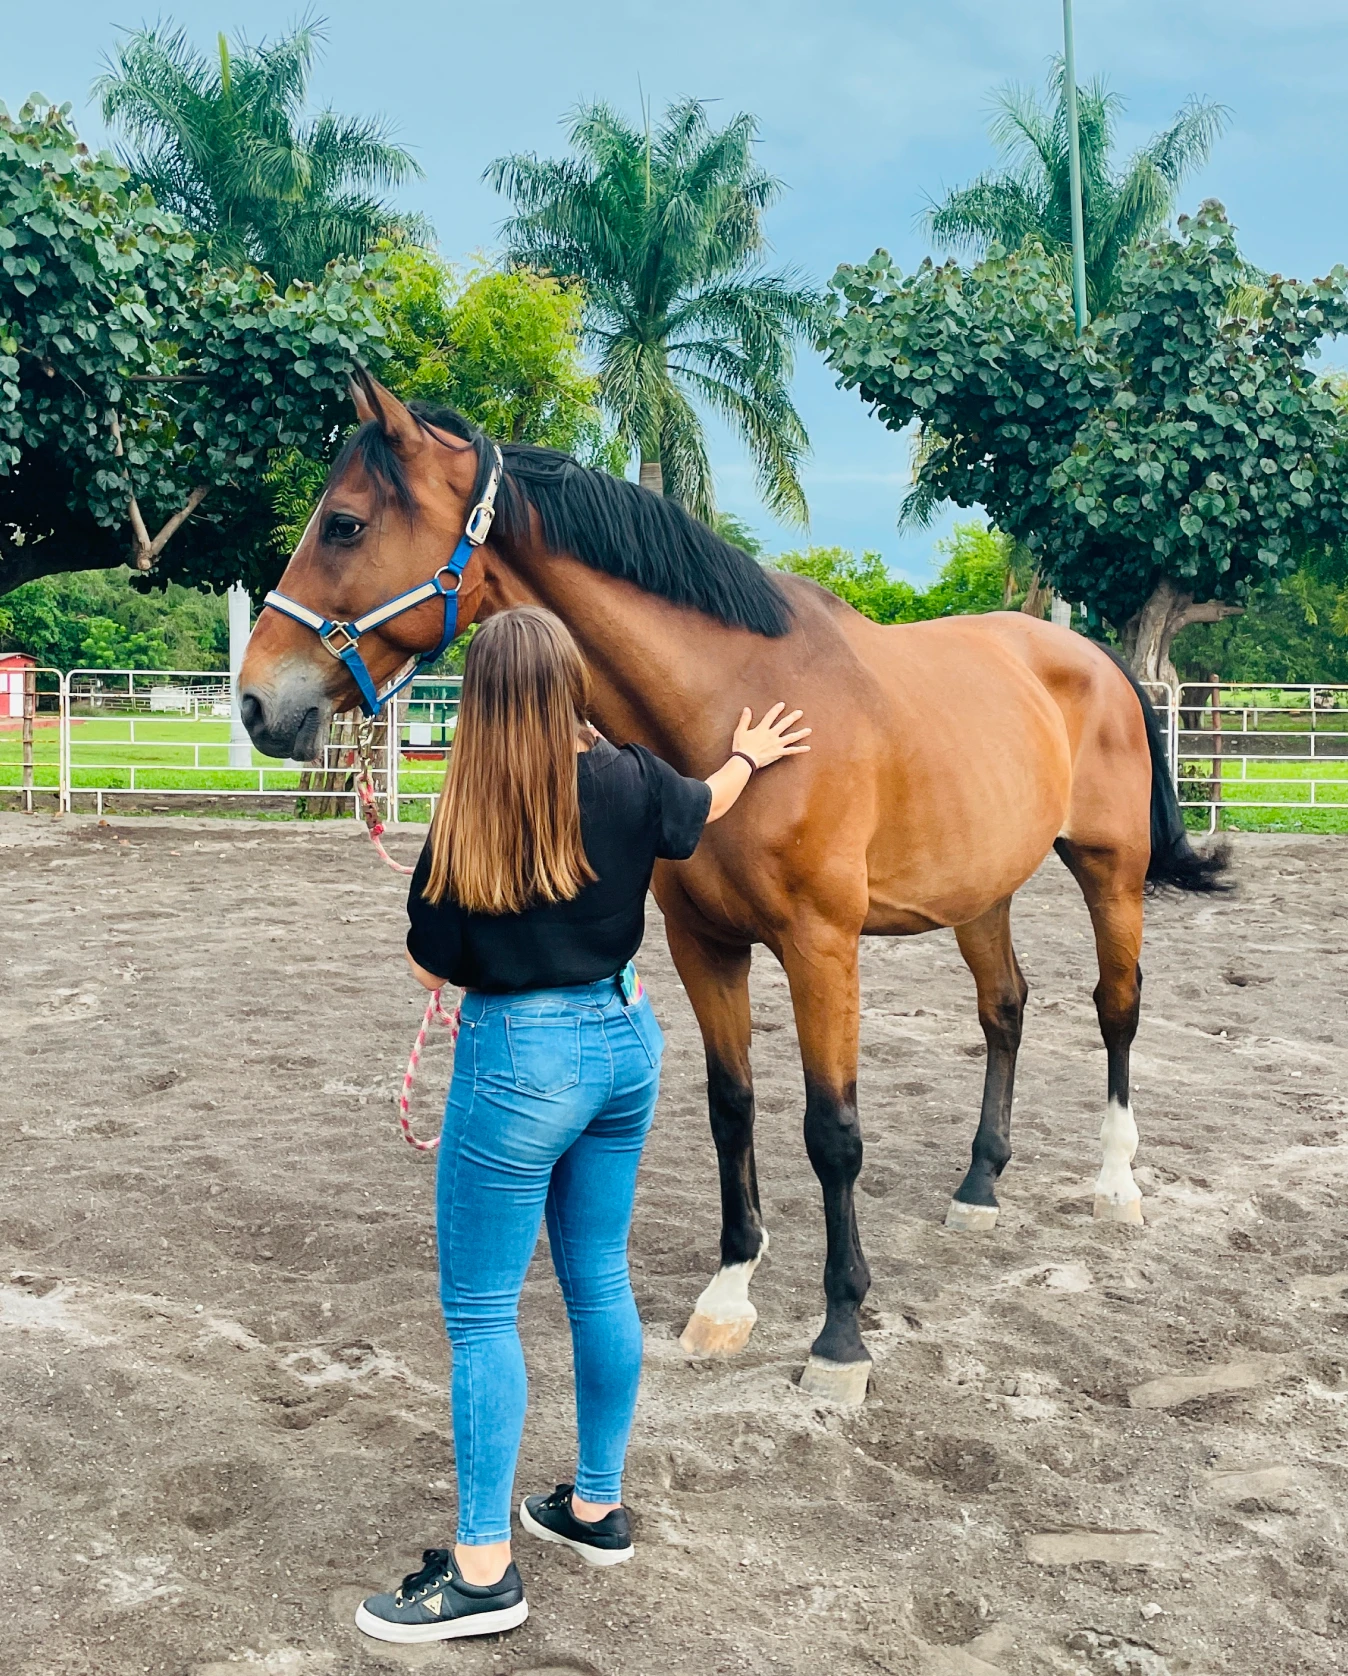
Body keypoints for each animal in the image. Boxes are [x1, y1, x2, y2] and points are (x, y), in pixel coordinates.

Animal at [240, 374, 1226, 1405]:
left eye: (344, 525)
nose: (257, 703)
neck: (736, 705)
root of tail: (1098, 663)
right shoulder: (703, 946)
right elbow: (732, 1108)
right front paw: (727, 1295)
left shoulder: (821, 948)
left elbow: (833, 1132)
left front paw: (841, 1337)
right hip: (981, 891)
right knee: (1005, 1009)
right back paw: (980, 1188)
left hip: (1109, 873)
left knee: (1117, 1007)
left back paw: (1117, 1185)